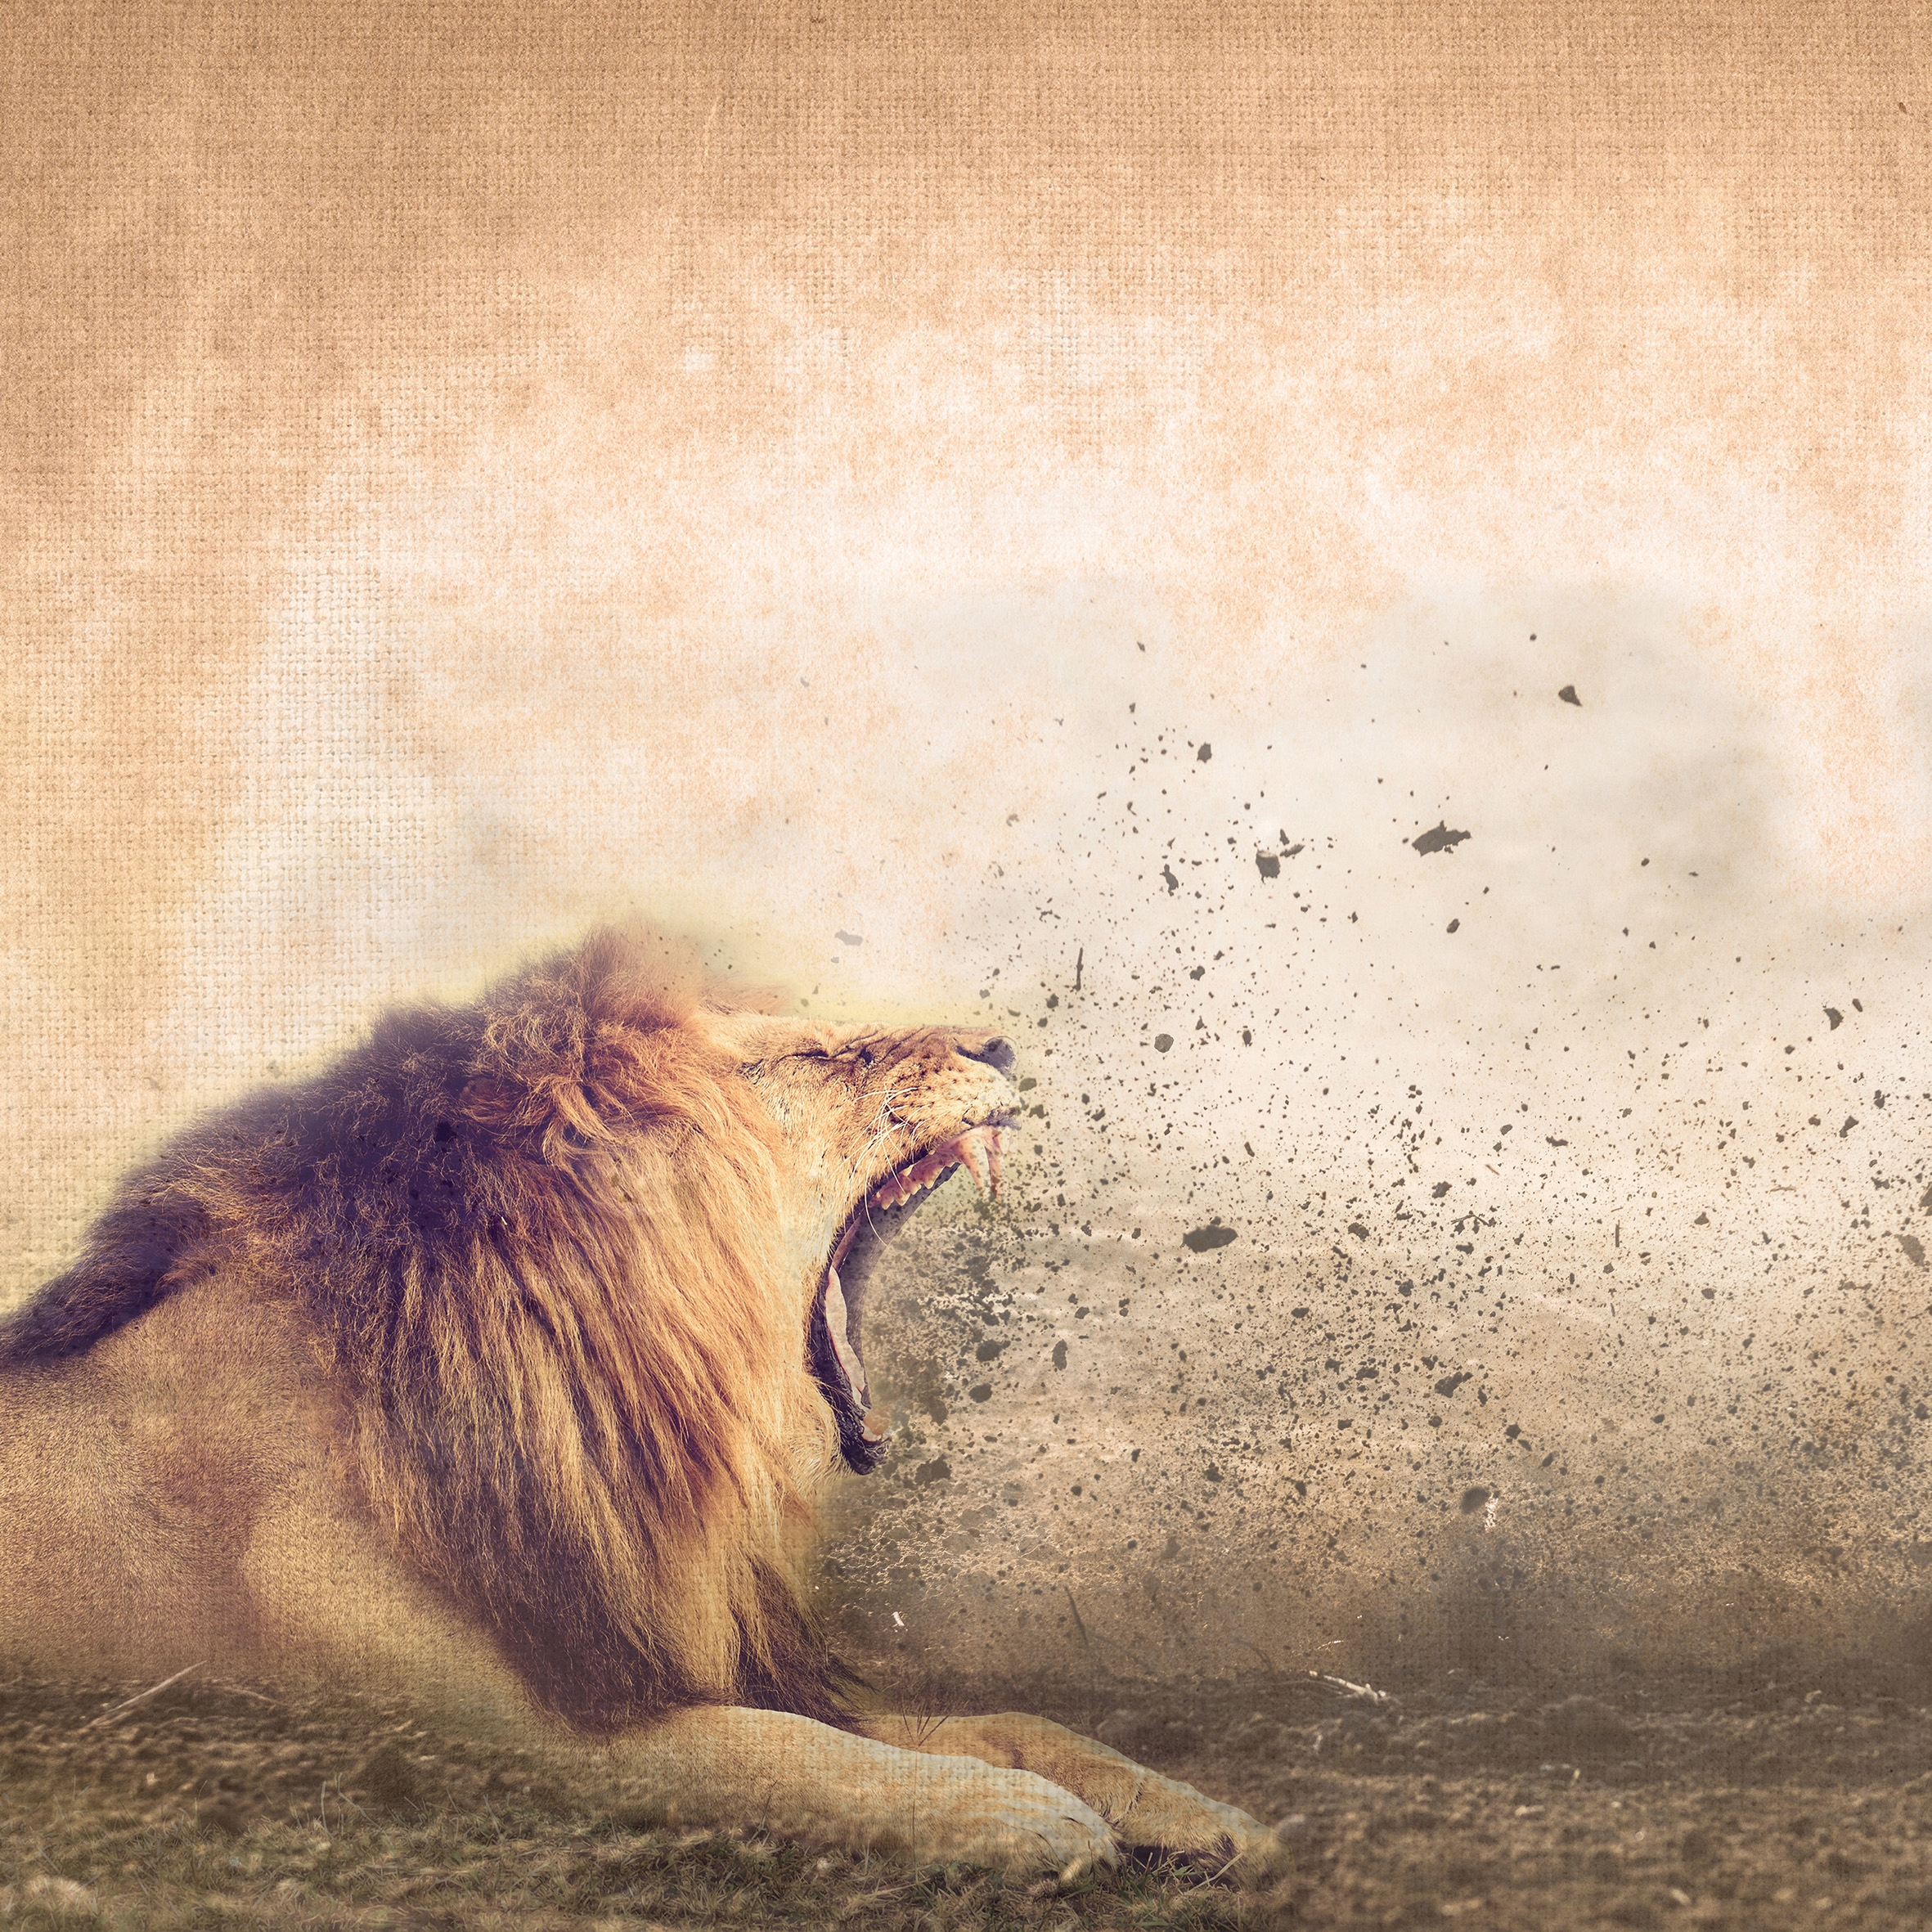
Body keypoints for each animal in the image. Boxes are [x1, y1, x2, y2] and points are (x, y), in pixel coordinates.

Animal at [0, 928, 1286, 1880]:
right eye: (806, 1057)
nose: (1001, 1041)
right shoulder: (495, 1741)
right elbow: (768, 1754)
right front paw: (1014, 1815)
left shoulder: (664, 1648)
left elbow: (1010, 1720)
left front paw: (1196, 1808)